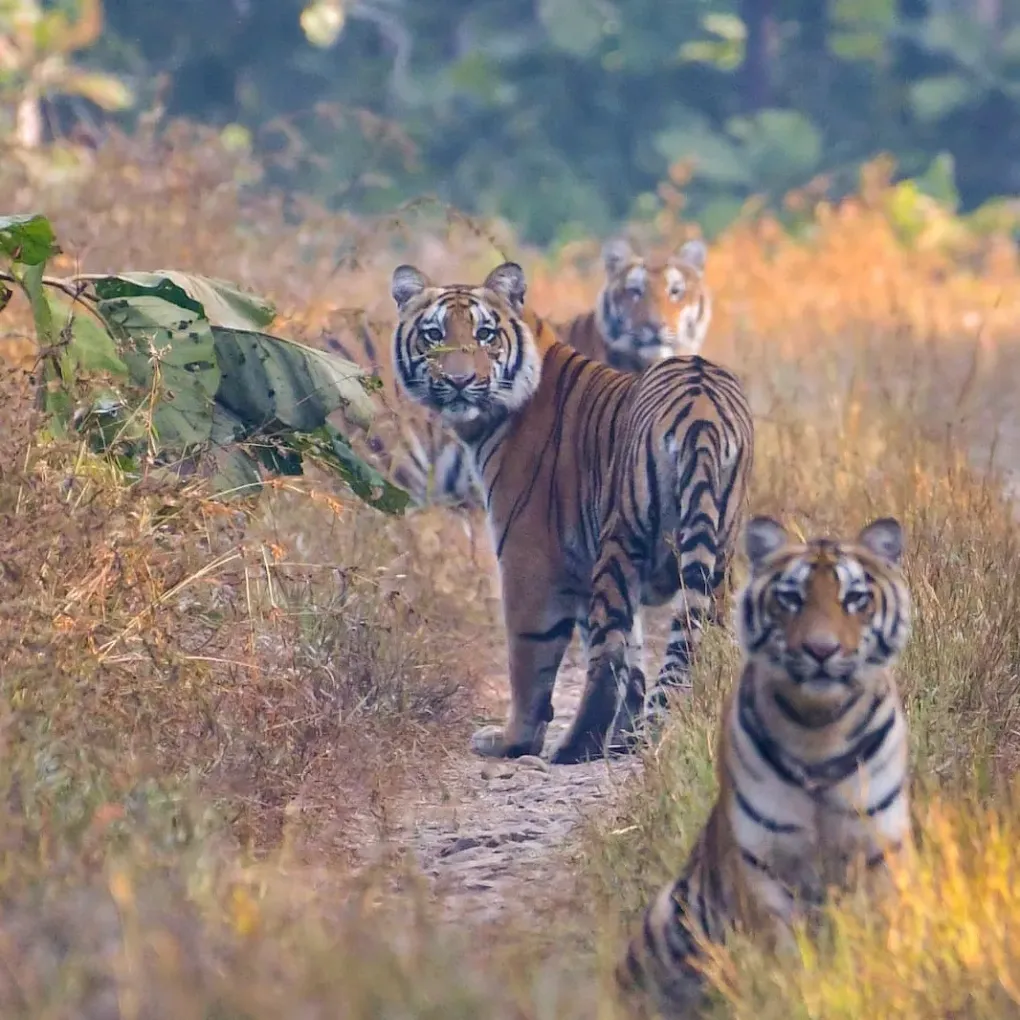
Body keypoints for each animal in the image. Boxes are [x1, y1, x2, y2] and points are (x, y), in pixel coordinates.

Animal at [389, 259, 753, 764]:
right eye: (433, 335)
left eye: (484, 334)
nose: (460, 381)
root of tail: (702, 412)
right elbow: (637, 663)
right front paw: (624, 739)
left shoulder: (528, 558)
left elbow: (531, 660)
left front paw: (512, 741)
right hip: (715, 555)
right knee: (693, 643)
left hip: (621, 541)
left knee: (607, 656)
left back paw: (573, 747)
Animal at [617, 514, 913, 1017]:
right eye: (791, 598)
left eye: (855, 598)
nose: (821, 650)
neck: (819, 728)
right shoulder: (760, 866)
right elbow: (783, 955)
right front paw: (791, 996)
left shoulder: (877, 853)